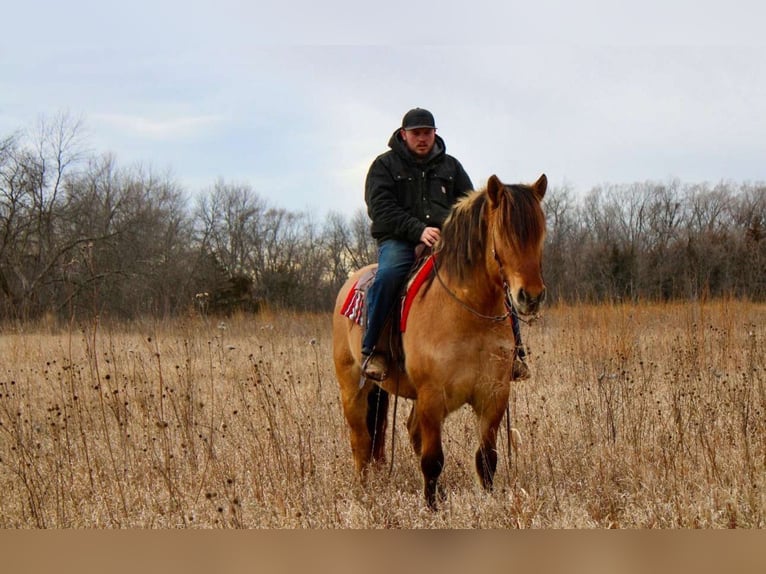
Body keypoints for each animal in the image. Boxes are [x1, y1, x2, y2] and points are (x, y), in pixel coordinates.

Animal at [332, 172, 548, 508]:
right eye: (504, 234)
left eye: (540, 232)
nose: (531, 297)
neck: (468, 312)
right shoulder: (432, 397)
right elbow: (433, 459)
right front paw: (432, 508)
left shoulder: (494, 396)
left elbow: (487, 458)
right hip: (353, 388)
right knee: (361, 441)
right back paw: (364, 489)